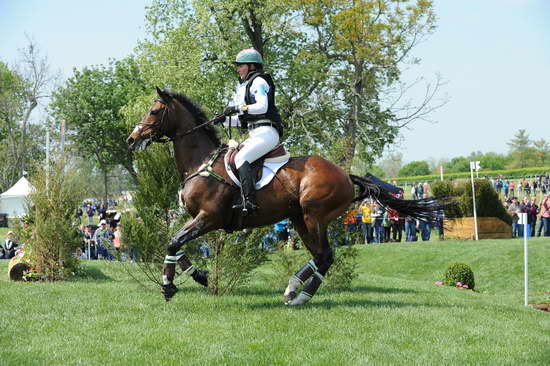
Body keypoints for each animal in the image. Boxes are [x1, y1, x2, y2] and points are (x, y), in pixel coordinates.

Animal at [127, 87, 446, 304]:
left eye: (154, 112)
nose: (132, 139)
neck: (201, 163)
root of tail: (345, 174)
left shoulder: (209, 218)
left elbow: (173, 241)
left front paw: (168, 286)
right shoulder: (195, 218)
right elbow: (173, 243)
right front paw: (199, 275)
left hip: (314, 215)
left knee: (326, 255)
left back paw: (301, 295)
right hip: (298, 218)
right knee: (319, 256)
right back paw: (292, 289)